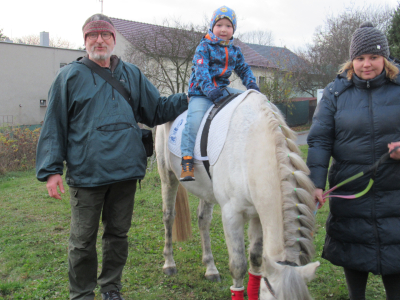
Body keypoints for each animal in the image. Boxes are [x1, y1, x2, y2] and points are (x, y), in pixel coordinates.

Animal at [155, 91, 318, 300]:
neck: (250, 147)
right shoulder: (231, 215)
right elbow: (238, 265)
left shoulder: (258, 214)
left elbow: (255, 259)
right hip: (167, 177)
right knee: (168, 216)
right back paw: (169, 264)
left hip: (206, 190)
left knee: (203, 220)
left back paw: (210, 269)